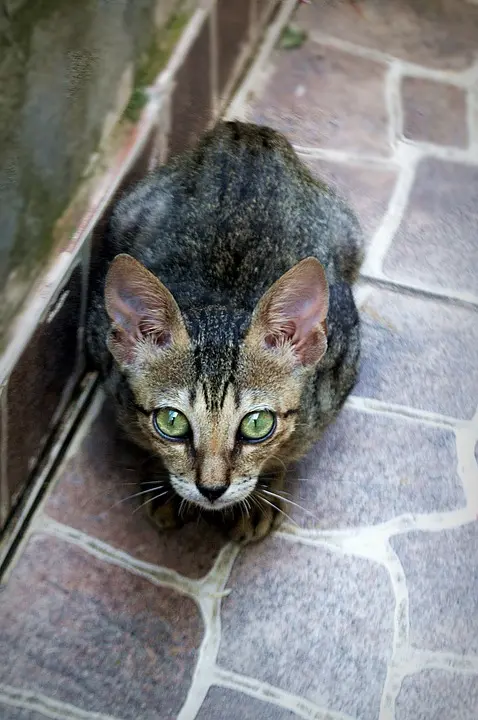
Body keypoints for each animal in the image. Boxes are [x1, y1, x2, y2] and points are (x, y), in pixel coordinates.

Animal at [87, 121, 362, 544]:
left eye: (257, 424)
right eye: (171, 422)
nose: (212, 489)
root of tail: (246, 132)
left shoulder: (341, 367)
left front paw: (266, 491)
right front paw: (162, 483)